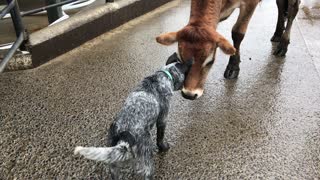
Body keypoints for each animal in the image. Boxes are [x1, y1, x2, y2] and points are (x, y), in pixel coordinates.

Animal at [156, 0, 298, 100]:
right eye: (180, 59)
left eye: (210, 61)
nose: (189, 94)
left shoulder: (250, 3)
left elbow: (237, 33)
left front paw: (233, 67)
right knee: (280, 5)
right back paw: (278, 34)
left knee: (293, 9)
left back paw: (283, 44)